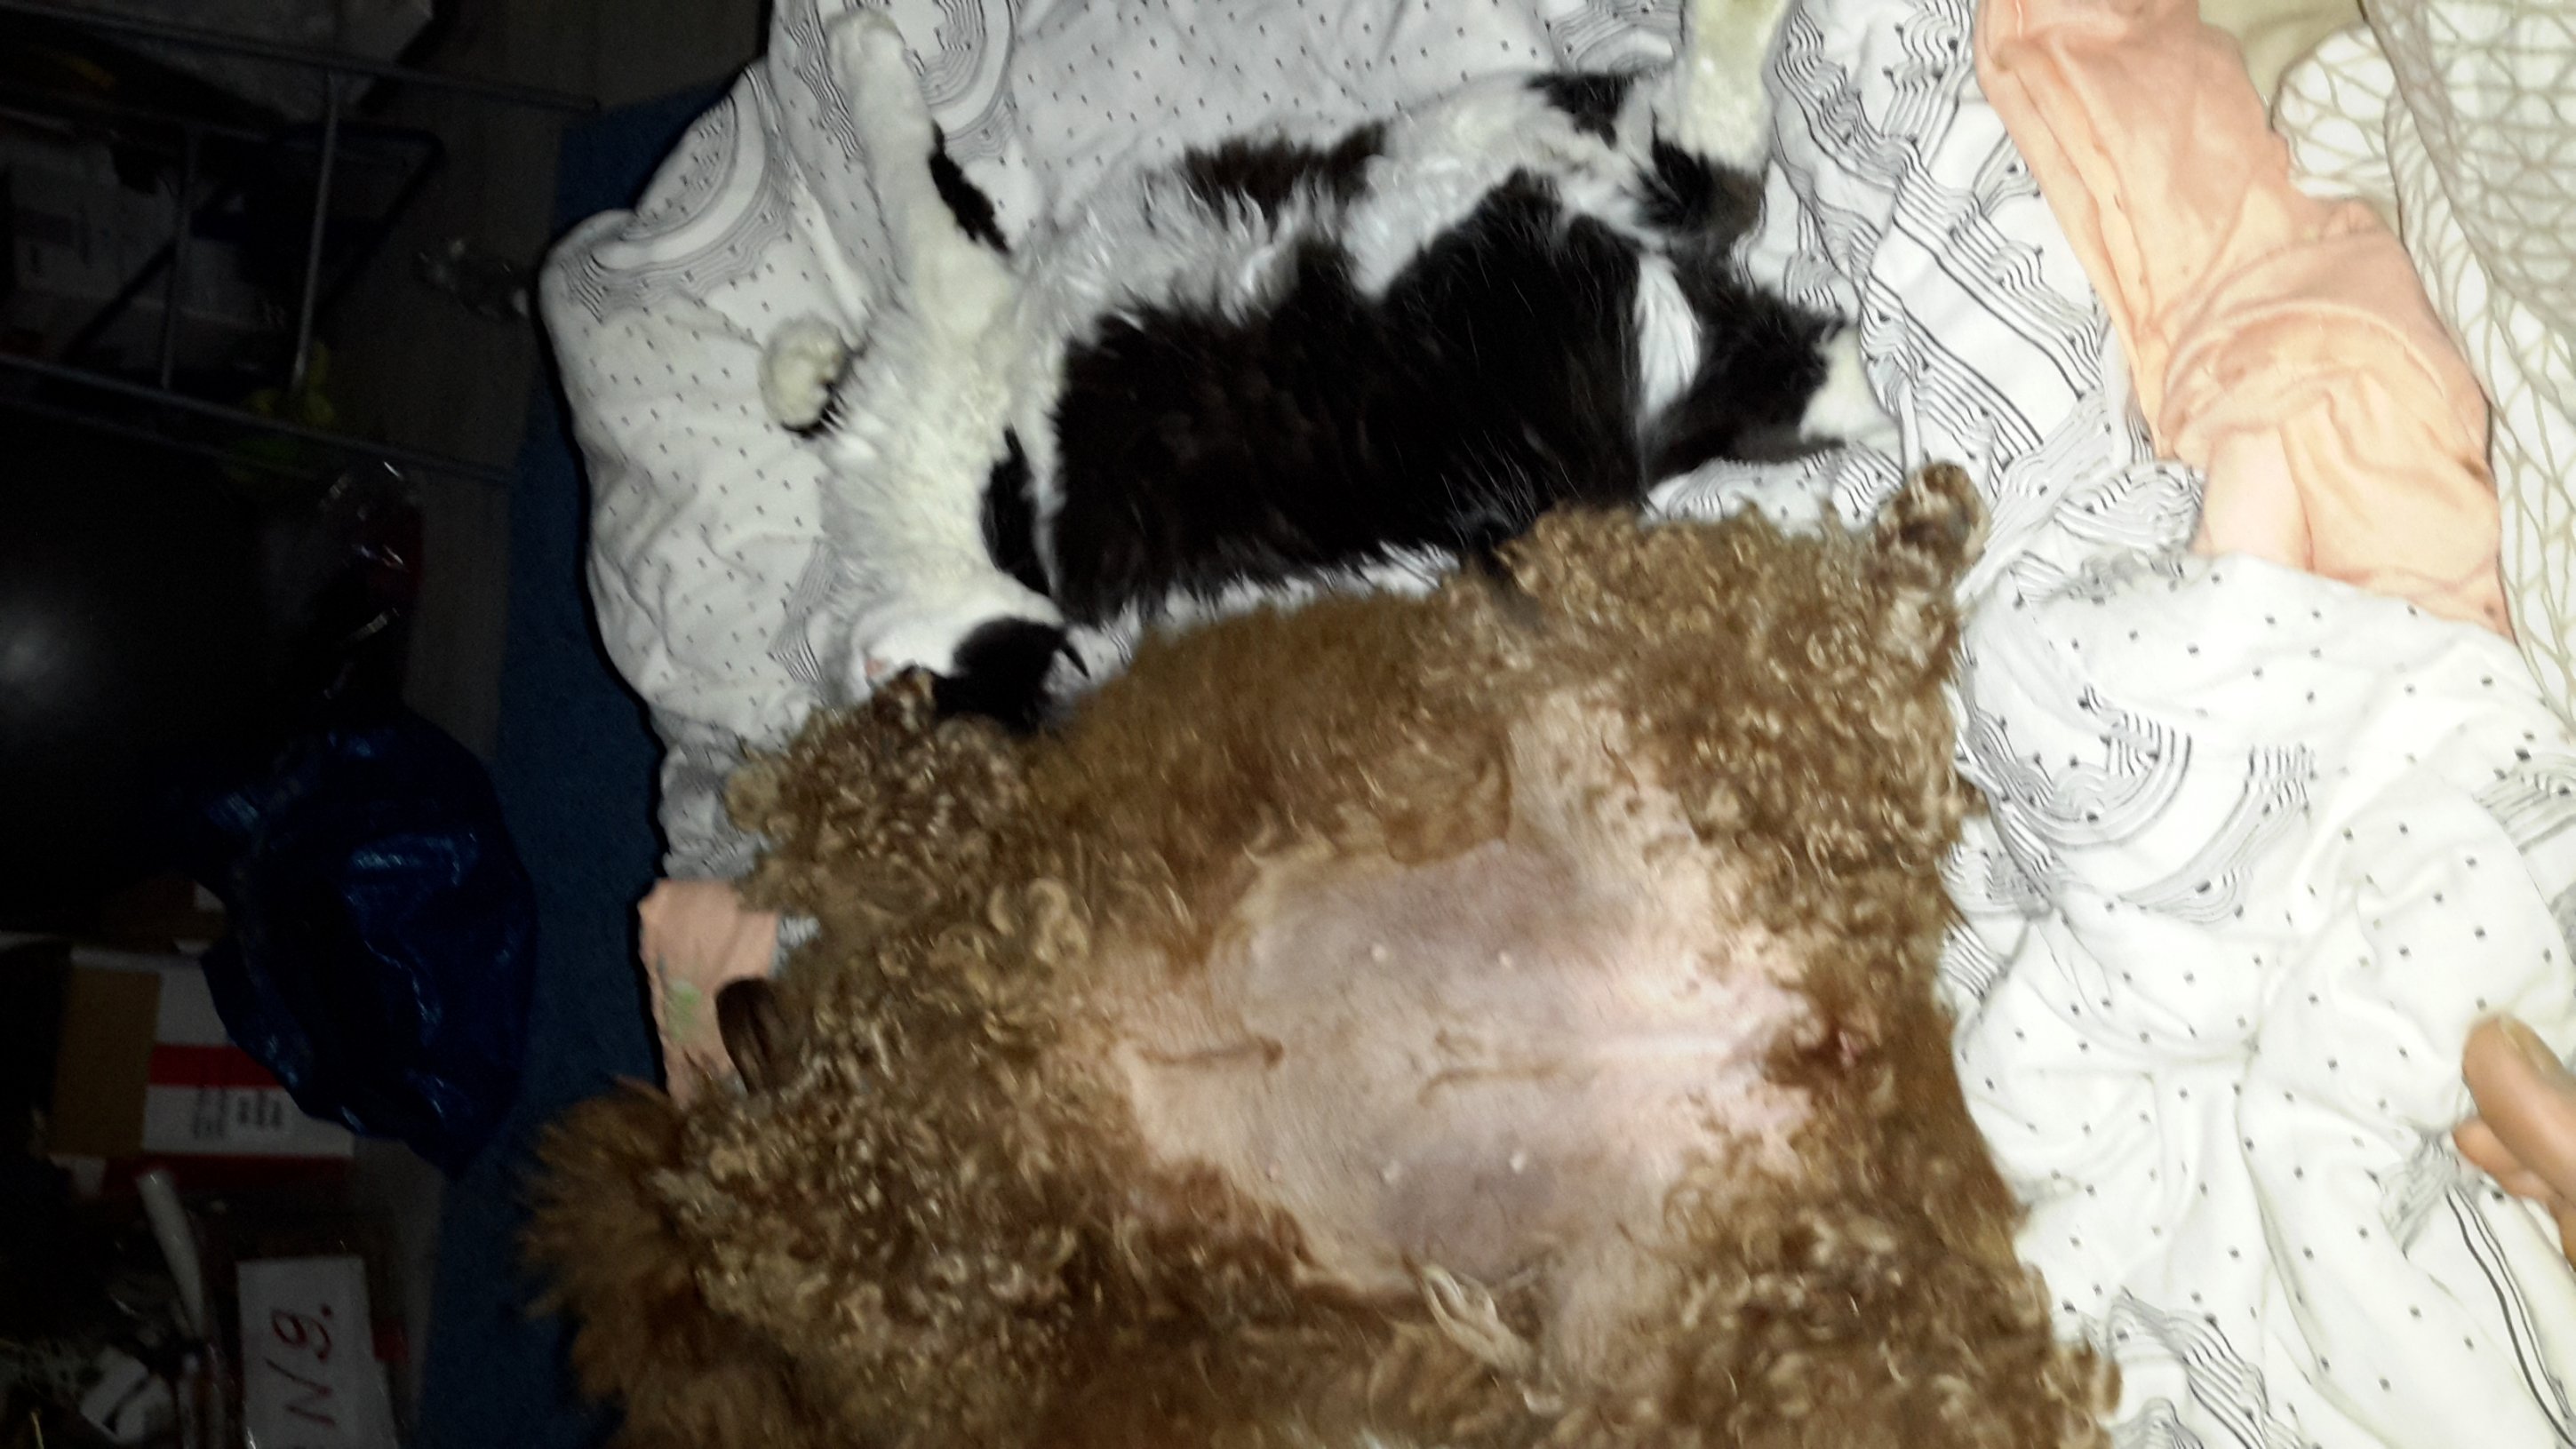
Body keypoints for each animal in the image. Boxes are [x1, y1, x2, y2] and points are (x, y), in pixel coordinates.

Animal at [762, 0, 1891, 731]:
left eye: (919, 700)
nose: (861, 668)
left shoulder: (964, 296)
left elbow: (908, 168)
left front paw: (860, 52)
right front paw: (806, 369)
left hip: (1477, 143)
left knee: (1705, 156)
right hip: (1537, 256)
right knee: (1710, 190)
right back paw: (1858, 387)